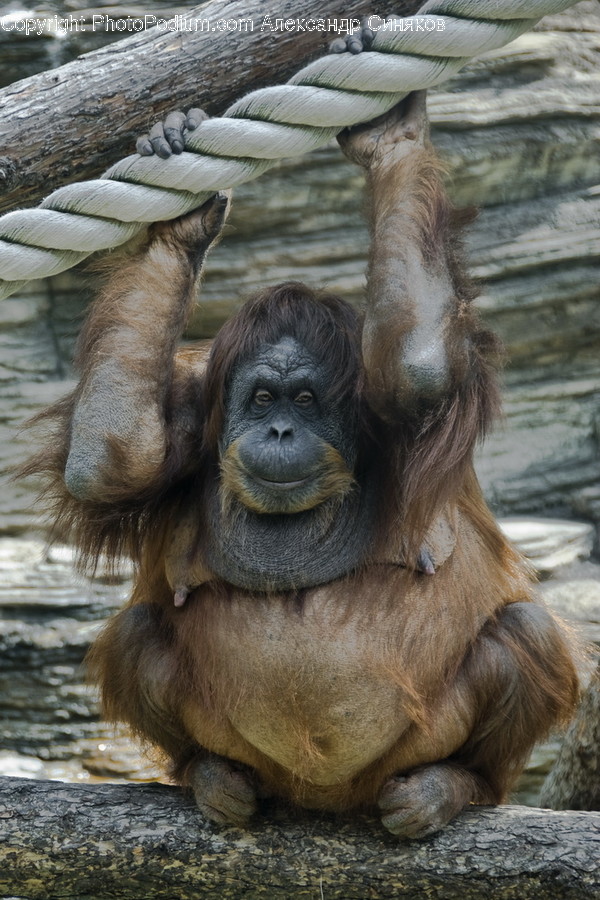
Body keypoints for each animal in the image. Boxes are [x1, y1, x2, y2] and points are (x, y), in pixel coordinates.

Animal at [25, 93, 578, 839]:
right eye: (262, 398)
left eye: (308, 399)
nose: (281, 428)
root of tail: (328, 799)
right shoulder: (192, 405)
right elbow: (113, 461)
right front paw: (179, 219)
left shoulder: (402, 412)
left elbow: (420, 368)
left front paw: (389, 138)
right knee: (140, 635)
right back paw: (211, 777)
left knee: (524, 632)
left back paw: (451, 787)